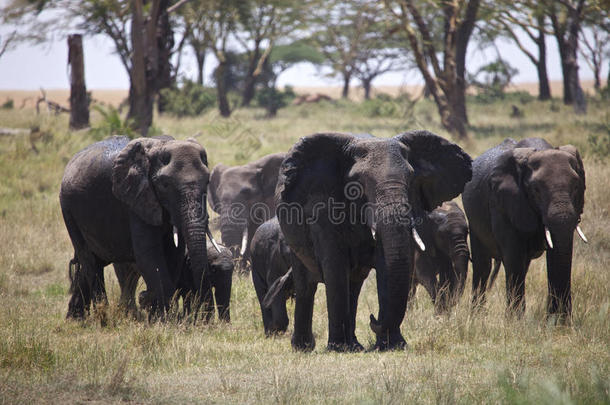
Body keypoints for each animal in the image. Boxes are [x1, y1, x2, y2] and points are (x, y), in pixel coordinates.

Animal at [61, 136, 218, 318]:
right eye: (165, 185)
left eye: (208, 181)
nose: (205, 318)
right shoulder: (135, 201)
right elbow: (148, 255)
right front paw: (164, 318)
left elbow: (174, 254)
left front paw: (156, 312)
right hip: (69, 211)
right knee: (91, 264)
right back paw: (103, 316)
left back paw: (76, 319)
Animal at [276, 130, 470, 350]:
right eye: (356, 185)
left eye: (412, 180)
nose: (373, 319)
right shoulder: (323, 207)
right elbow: (335, 266)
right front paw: (338, 348)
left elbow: (387, 266)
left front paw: (393, 345)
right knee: (306, 286)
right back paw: (305, 347)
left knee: (353, 285)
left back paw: (354, 346)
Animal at [460, 137, 584, 320]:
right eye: (536, 190)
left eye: (576, 187)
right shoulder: (502, 202)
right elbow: (513, 255)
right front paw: (515, 321)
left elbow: (556, 255)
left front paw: (557, 322)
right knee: (483, 265)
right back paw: (477, 315)